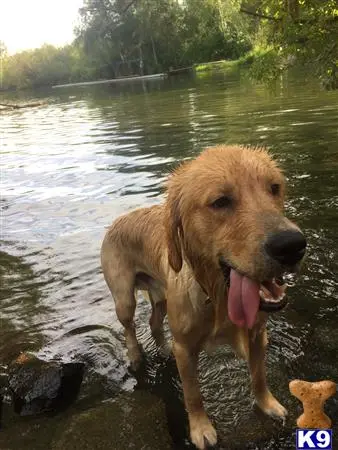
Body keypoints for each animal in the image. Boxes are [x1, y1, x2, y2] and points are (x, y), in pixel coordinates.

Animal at [100, 146, 306, 448]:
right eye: (220, 201)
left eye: (274, 188)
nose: (292, 246)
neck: (216, 296)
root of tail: (118, 219)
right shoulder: (185, 348)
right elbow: (193, 394)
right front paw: (200, 430)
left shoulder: (258, 335)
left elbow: (259, 376)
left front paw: (268, 405)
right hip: (124, 298)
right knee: (129, 327)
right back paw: (136, 357)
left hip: (161, 297)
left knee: (153, 322)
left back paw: (162, 348)